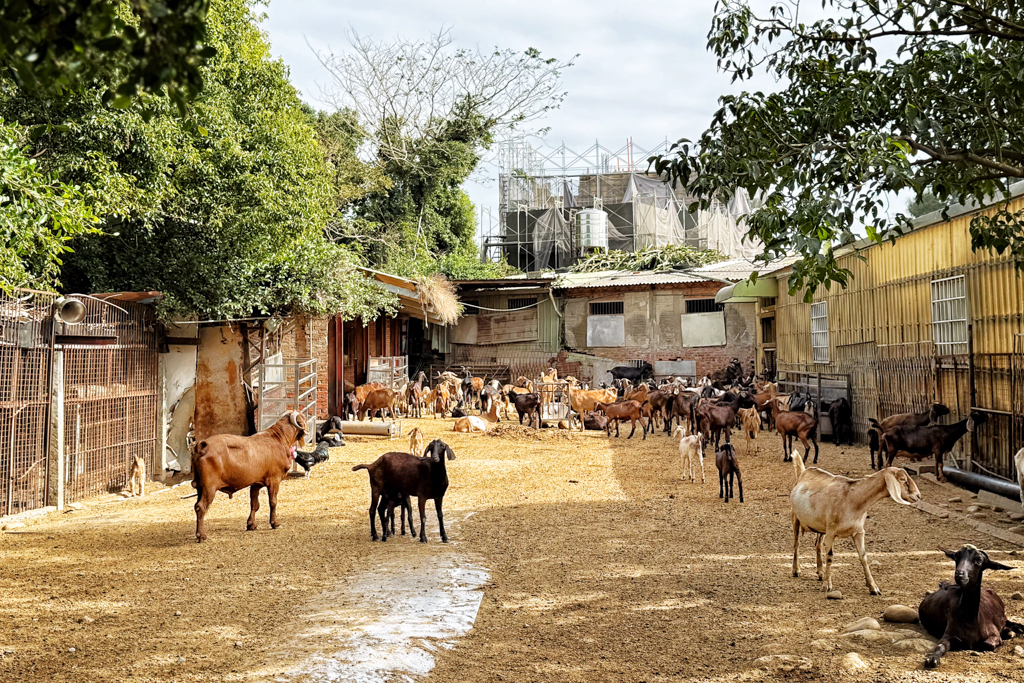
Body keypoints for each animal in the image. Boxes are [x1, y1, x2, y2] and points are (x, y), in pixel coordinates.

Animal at [190, 411, 305, 544]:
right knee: (201, 507)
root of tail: (203, 446)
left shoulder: (256, 483)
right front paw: (275, 523)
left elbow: (254, 504)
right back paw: (201, 535)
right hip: (209, 487)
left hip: (200, 487)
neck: (278, 438)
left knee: (196, 506)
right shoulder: (274, 480)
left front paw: (251, 524)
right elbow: (273, 502)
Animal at [786, 454, 925, 593]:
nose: (918, 496)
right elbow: (830, 556)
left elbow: (863, 557)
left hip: (821, 527)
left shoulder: (858, 531)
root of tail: (803, 472)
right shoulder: (831, 532)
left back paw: (820, 573)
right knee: (796, 543)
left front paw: (873, 587)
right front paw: (827, 585)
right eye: (902, 479)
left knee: (817, 545)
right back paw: (796, 570)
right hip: (795, 517)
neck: (852, 499)